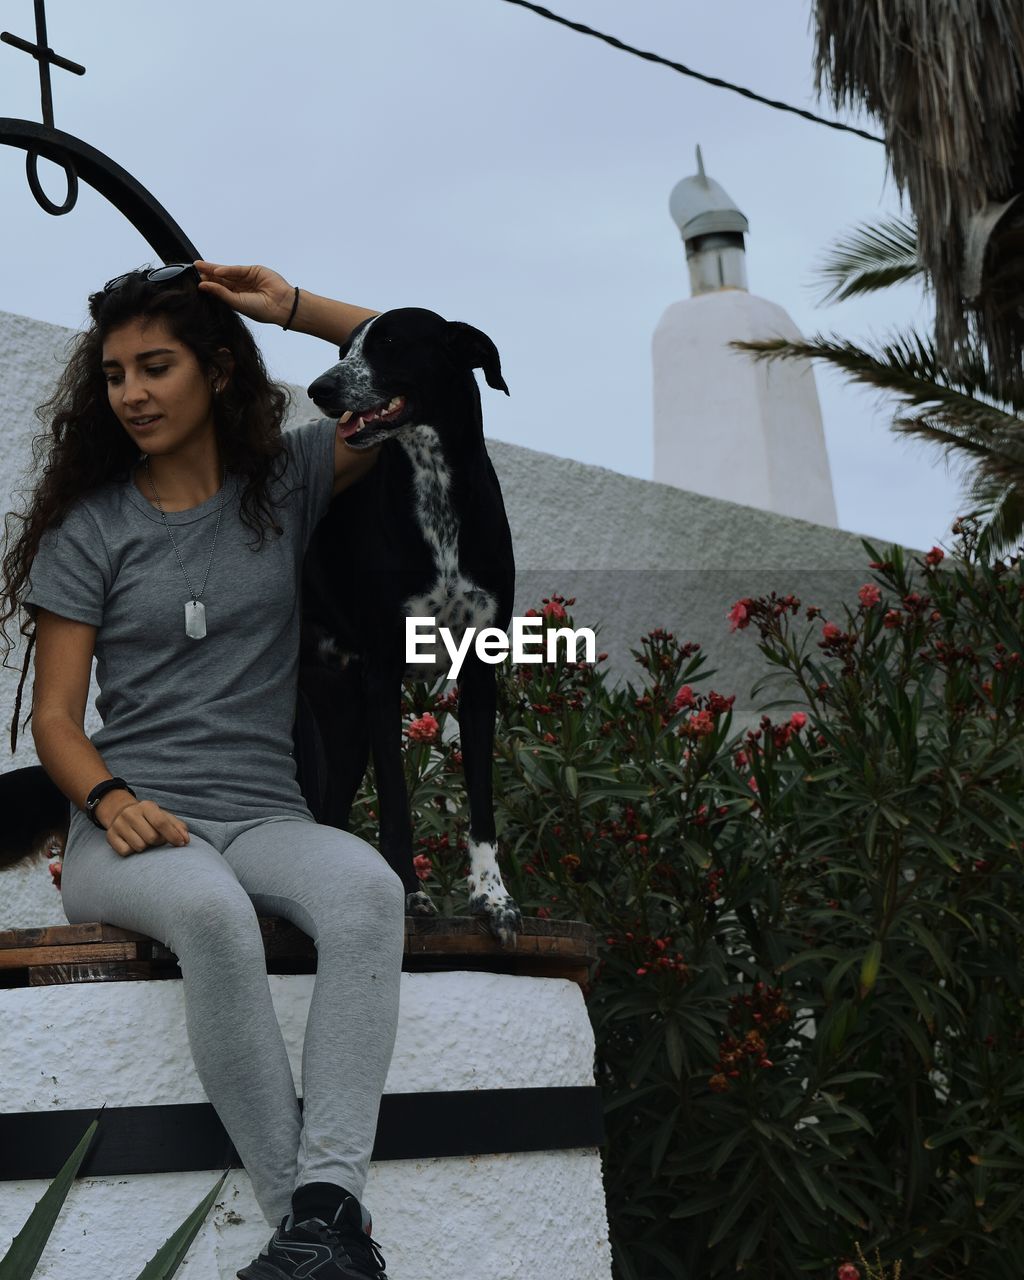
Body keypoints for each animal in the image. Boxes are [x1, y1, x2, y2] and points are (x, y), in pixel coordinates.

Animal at [294, 309, 519, 947]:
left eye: (390, 342)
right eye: (343, 349)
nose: (320, 389)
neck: (436, 485)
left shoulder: (480, 676)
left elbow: (482, 807)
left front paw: (493, 898)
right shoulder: (383, 676)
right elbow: (395, 805)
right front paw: (410, 895)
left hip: (344, 727)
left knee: (329, 814)